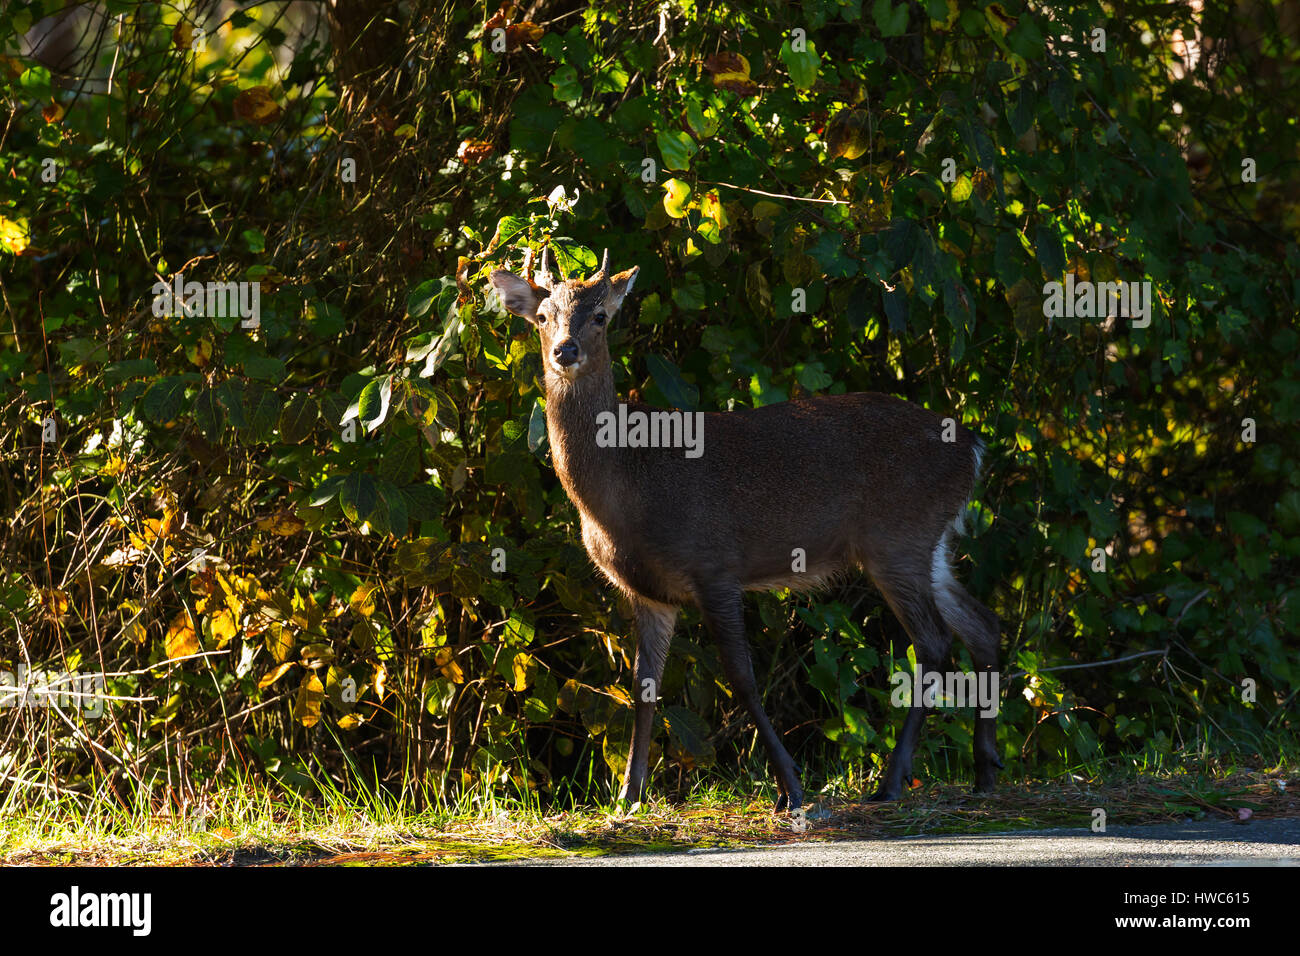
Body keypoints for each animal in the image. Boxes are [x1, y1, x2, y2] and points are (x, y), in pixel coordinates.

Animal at [488, 248, 1003, 816]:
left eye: (600, 315)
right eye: (542, 316)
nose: (566, 350)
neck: (625, 485)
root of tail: (973, 448)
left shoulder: (715, 564)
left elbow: (742, 678)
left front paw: (791, 787)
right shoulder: (649, 592)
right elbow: (643, 685)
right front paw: (629, 795)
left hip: (897, 537)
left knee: (934, 642)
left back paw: (892, 782)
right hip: (929, 544)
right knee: (983, 624)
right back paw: (985, 770)